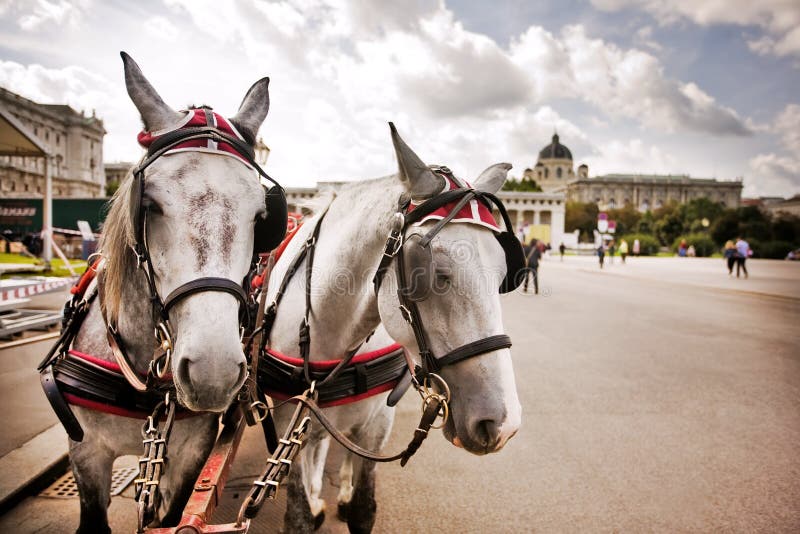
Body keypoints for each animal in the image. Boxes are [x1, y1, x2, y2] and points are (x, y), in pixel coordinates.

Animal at [53, 54, 276, 534]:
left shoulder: (191, 451)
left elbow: (172, 515)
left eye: (263, 215)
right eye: (149, 203)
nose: (213, 370)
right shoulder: (86, 453)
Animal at [262, 123, 520, 532]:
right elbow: (298, 513)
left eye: (504, 274)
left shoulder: (377, 423)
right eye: (431, 272)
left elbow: (363, 506)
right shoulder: (289, 415)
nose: (503, 422)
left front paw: (348, 497)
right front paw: (311, 501)